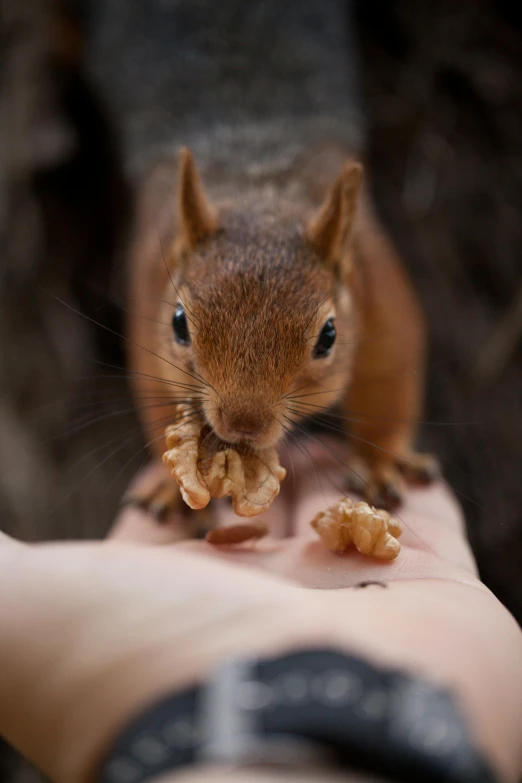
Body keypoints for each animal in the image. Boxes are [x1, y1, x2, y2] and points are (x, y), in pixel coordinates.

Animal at [81, 0, 436, 528]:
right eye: (179, 323)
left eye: (329, 336)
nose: (242, 424)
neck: (259, 191)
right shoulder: (150, 283)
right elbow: (153, 387)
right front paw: (169, 484)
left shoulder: (376, 277)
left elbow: (390, 370)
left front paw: (377, 462)